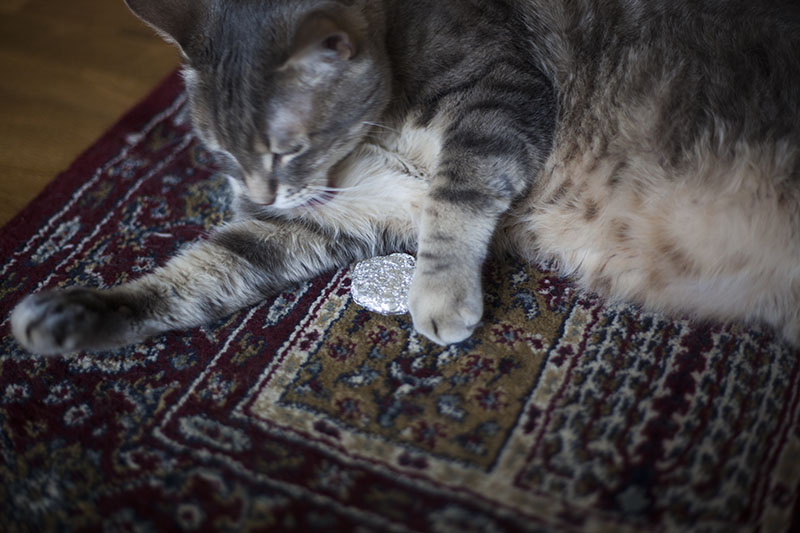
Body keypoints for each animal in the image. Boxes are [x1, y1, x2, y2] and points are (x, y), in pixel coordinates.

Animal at [10, 0, 800, 356]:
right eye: (220, 149)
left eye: (286, 149)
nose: (250, 194)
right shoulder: (336, 215)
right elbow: (204, 269)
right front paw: (78, 314)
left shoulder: (502, 93)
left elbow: (458, 196)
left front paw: (439, 294)